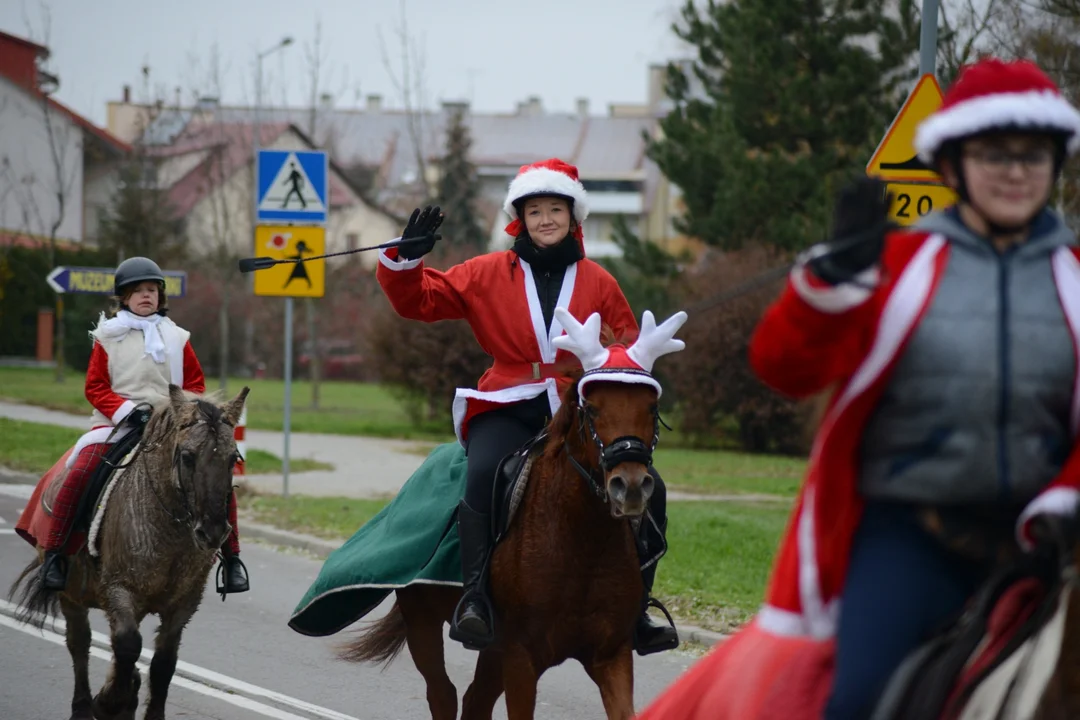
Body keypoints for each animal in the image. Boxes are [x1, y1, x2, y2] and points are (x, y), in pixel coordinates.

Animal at [8, 386, 248, 720]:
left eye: (232, 459)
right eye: (187, 457)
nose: (212, 532)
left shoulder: (184, 603)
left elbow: (163, 663)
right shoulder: (120, 589)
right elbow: (127, 644)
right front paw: (109, 703)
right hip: (70, 594)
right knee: (80, 643)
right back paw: (84, 707)